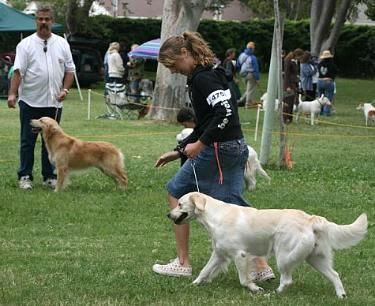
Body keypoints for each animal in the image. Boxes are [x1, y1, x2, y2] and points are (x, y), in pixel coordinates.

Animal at [169, 192, 368, 298]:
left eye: (180, 204)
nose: (168, 215)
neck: (214, 216)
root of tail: (311, 218)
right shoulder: (219, 253)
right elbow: (204, 271)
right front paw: (194, 284)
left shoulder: (240, 255)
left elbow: (243, 279)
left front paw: (255, 288)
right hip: (315, 258)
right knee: (334, 275)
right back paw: (341, 295)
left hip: (284, 256)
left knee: (287, 280)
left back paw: (273, 294)